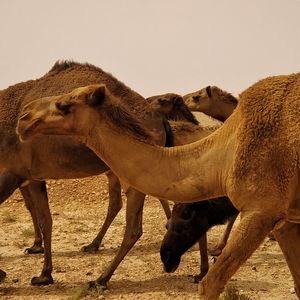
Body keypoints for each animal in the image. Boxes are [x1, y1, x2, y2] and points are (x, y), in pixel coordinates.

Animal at [17, 75, 300, 300]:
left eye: (65, 105)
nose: (23, 118)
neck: (224, 154)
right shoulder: (285, 221)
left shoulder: (261, 211)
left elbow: (211, 284)